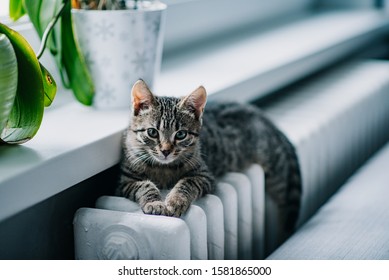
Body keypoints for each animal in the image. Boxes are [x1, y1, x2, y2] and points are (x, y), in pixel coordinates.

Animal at [116, 79, 302, 232]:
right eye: (152, 132)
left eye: (181, 134)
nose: (166, 151)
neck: (163, 168)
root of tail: (263, 117)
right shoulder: (125, 181)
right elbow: (144, 186)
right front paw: (155, 203)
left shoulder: (204, 175)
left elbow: (186, 182)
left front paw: (175, 200)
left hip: (277, 175)